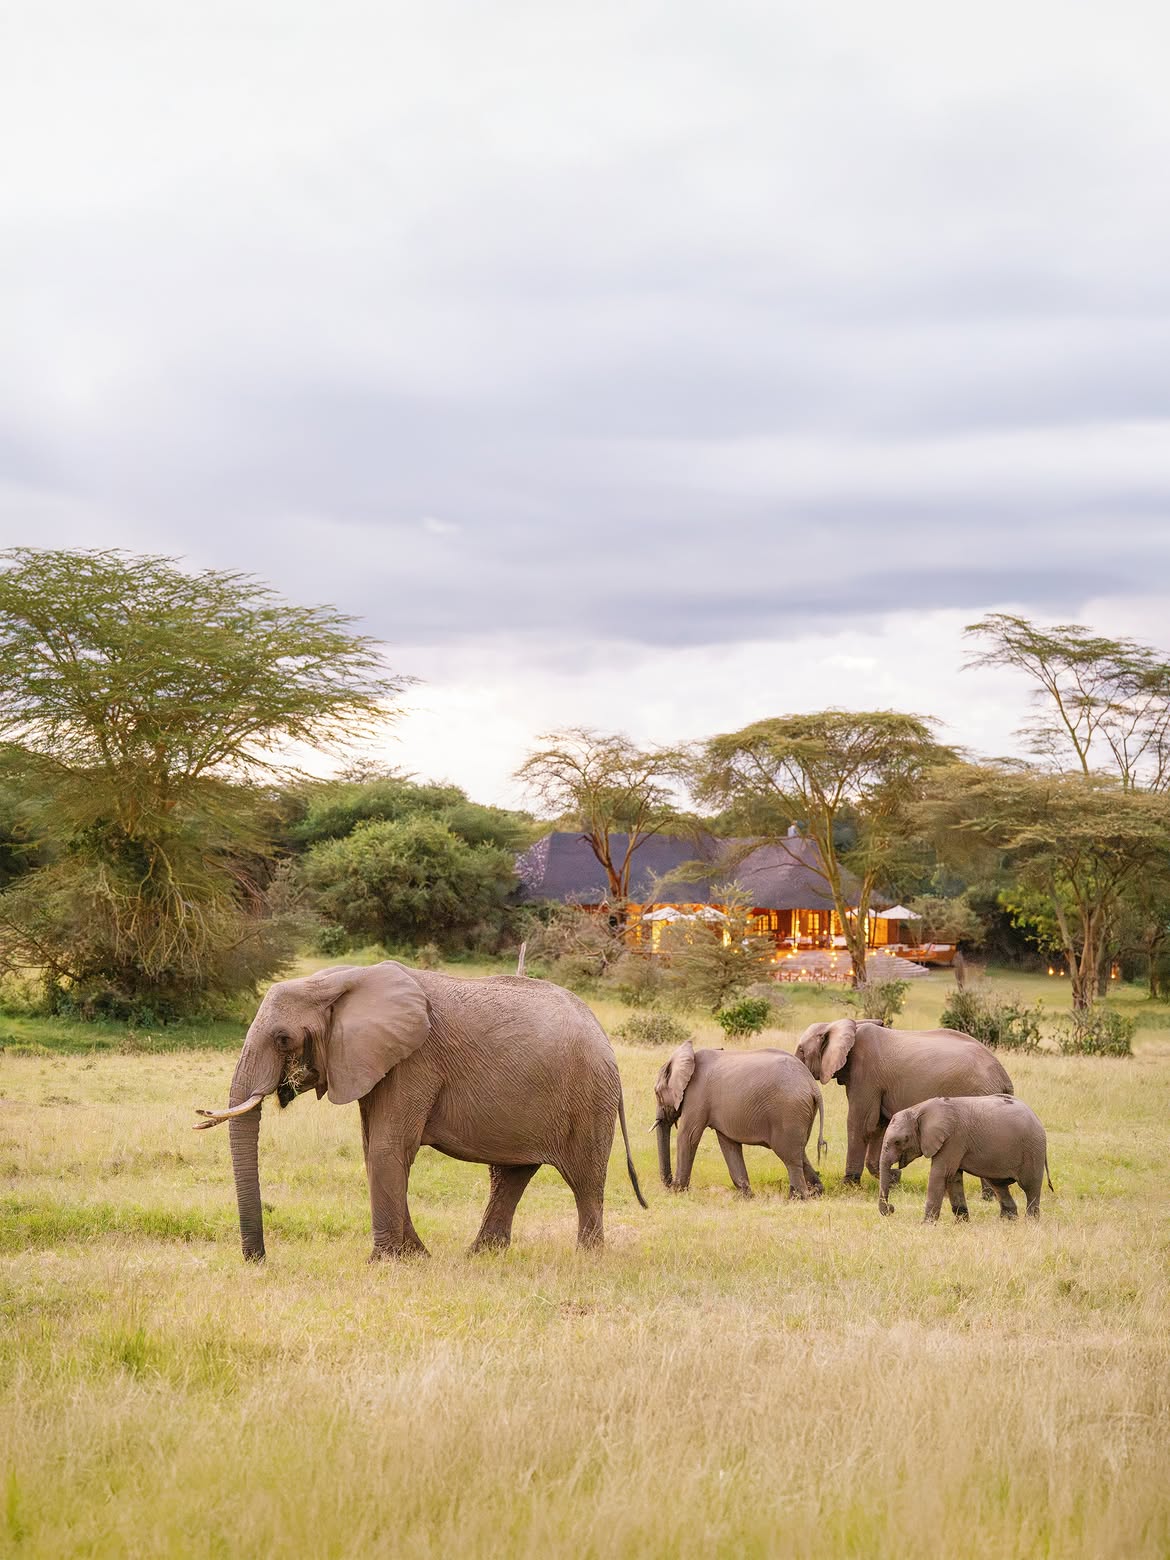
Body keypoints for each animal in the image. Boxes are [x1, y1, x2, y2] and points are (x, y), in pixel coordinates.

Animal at [193, 962, 647, 1261]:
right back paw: (480, 1256)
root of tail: (602, 1034)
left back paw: (587, 1259)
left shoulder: (416, 1060)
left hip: (590, 1096)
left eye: (283, 1039)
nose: (259, 1260)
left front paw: (385, 1263)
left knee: (585, 1179)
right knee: (510, 1175)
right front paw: (416, 1258)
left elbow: (388, 1147)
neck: (338, 980)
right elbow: (374, 1148)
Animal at [653, 1039, 827, 1199]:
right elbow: (728, 1144)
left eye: (656, 1093)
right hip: (800, 1113)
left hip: (789, 1111)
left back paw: (797, 1198)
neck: (689, 1058)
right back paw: (816, 1192)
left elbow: (688, 1136)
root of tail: (813, 1086)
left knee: (790, 1157)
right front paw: (746, 1197)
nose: (669, 1183)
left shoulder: (697, 1095)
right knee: (799, 1152)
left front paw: (677, 1192)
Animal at [794, 1018, 1014, 1194]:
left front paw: (848, 1186)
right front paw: (893, 1178)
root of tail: (1004, 1076)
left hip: (980, 1096)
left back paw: (988, 1197)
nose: (897, 1172)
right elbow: (879, 1125)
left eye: (801, 1050)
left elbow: (862, 1124)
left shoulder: (865, 1076)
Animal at [878, 1094, 1053, 1221]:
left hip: (1033, 1149)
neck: (918, 1109)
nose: (891, 1209)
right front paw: (962, 1223)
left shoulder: (953, 1138)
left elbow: (940, 1174)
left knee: (1030, 1187)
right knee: (998, 1185)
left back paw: (1030, 1222)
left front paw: (926, 1225)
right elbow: (953, 1178)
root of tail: (1036, 1117)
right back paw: (1008, 1221)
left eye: (899, 1141)